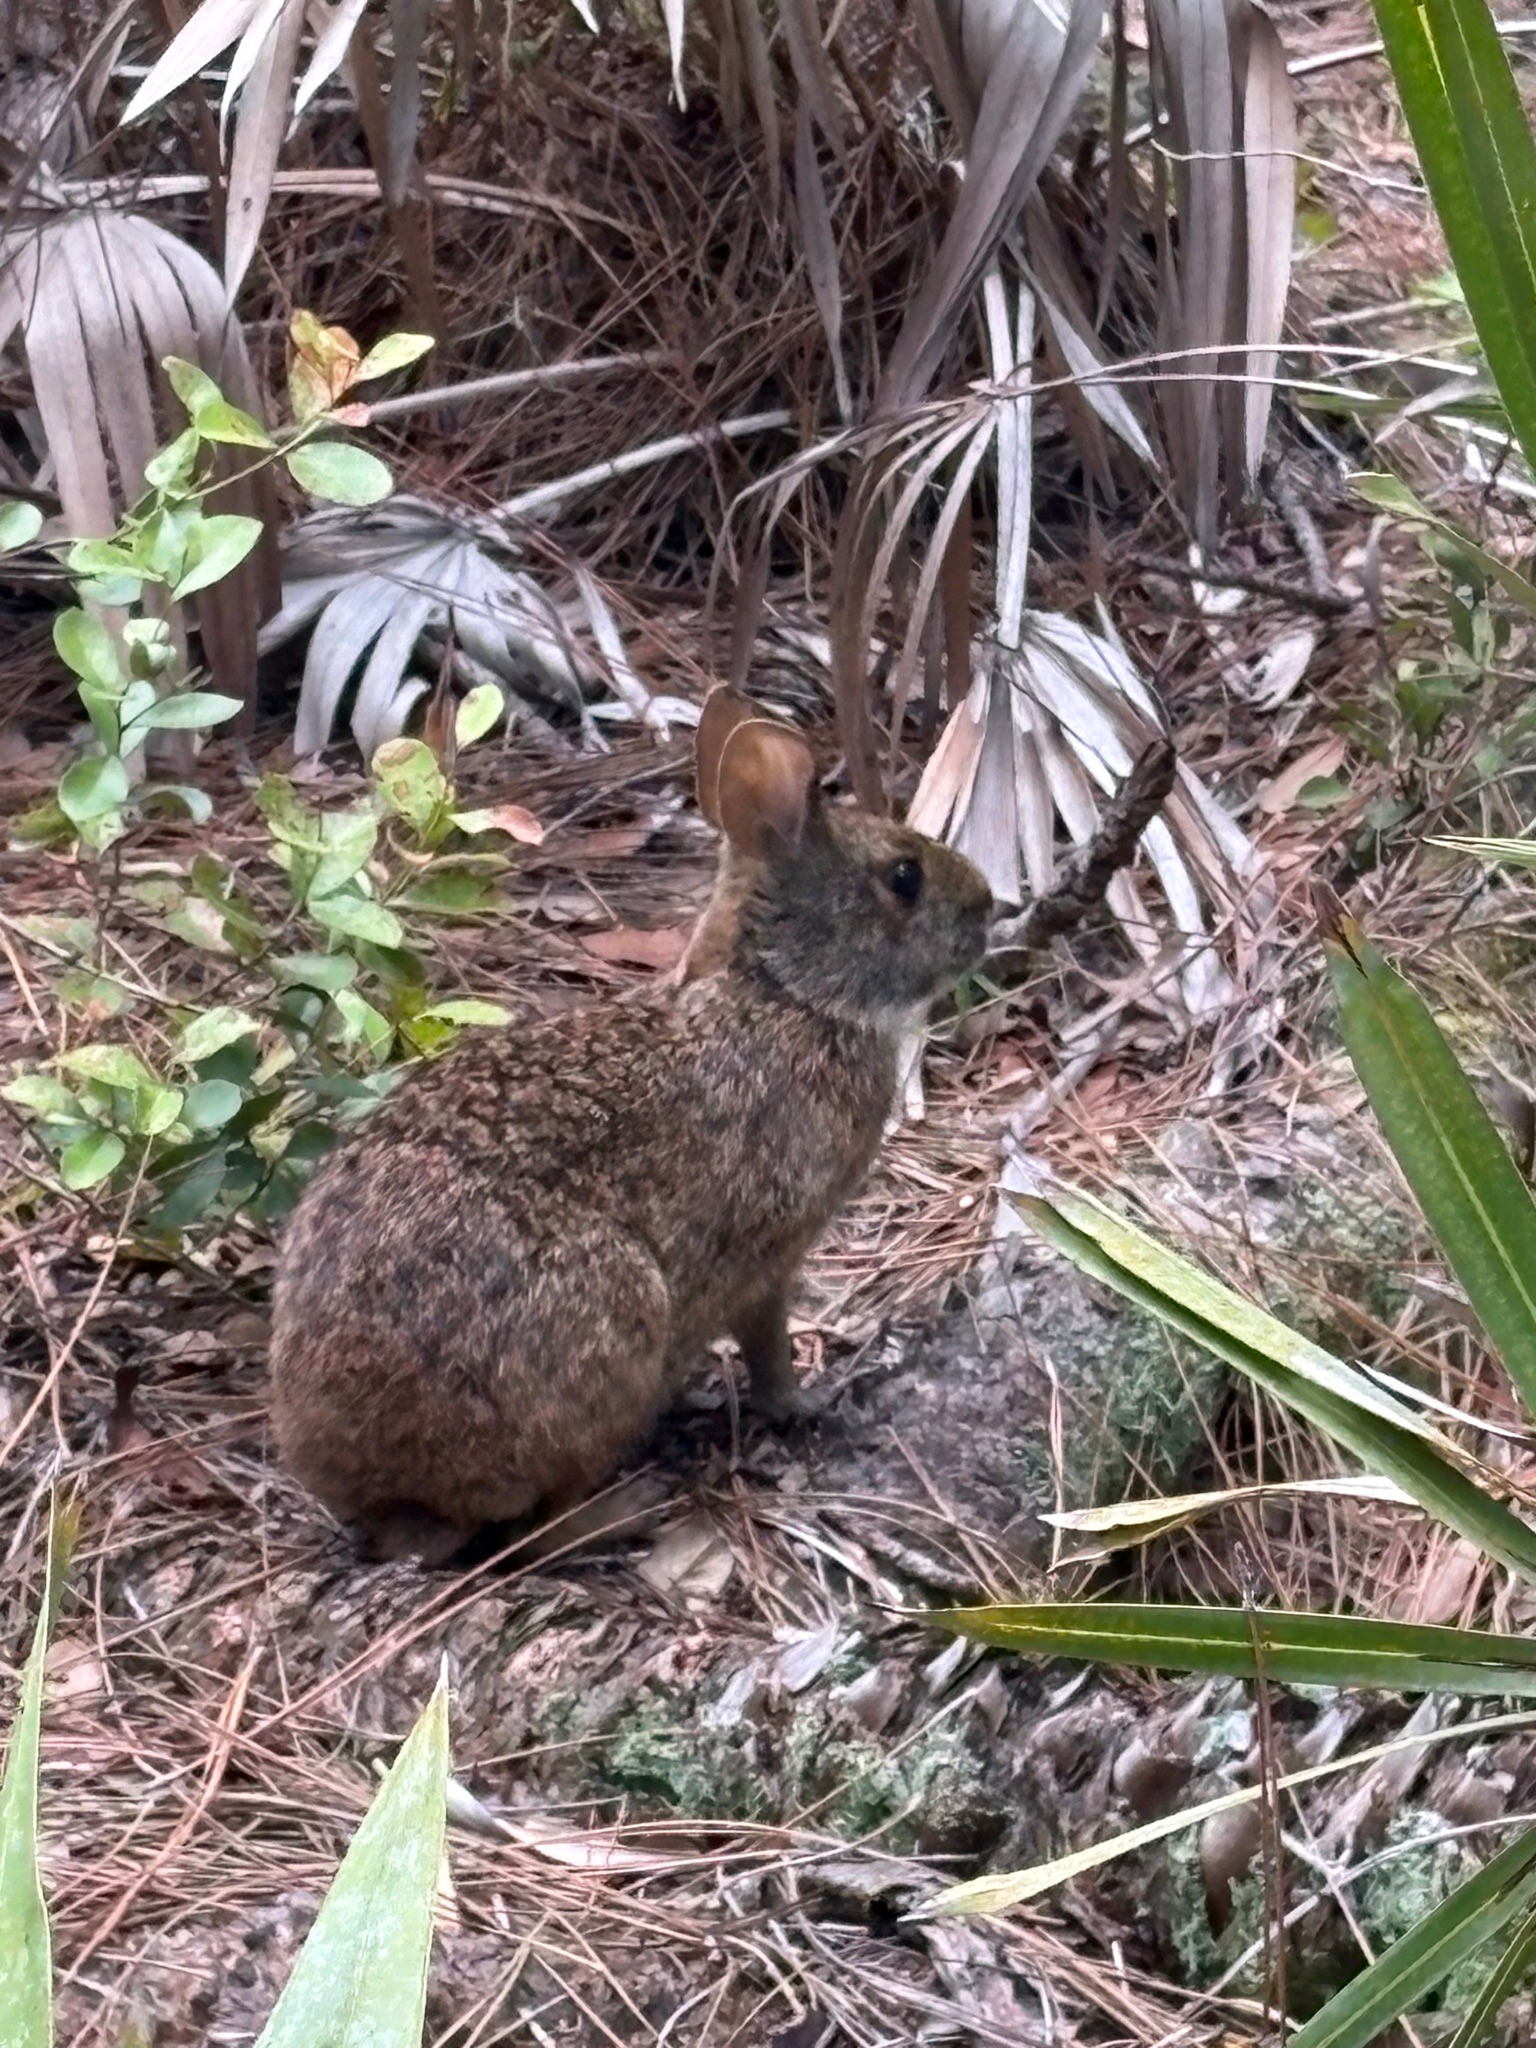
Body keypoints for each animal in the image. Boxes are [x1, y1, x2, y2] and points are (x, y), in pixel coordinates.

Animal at [268, 688, 993, 1564]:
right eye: (903, 876)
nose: (989, 907)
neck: (784, 992)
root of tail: (384, 1492)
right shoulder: (770, 1254)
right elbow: (768, 1343)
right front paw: (806, 1405)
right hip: (609, 1329)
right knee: (542, 1526)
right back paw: (633, 1510)